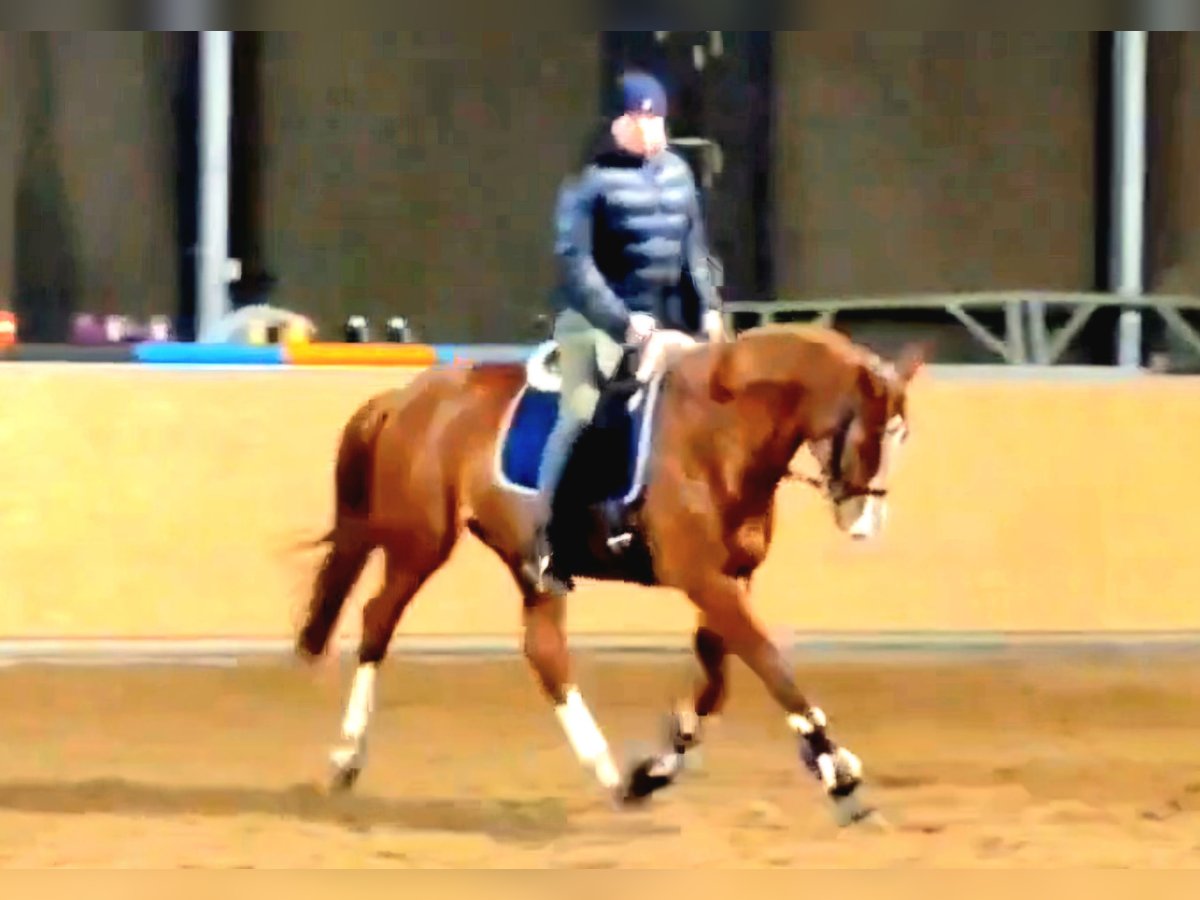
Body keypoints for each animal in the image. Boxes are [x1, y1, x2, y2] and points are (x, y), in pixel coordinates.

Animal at [294, 323, 925, 826]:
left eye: (903, 437)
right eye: (870, 434)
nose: (864, 523)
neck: (719, 430)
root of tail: (408, 395)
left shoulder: (730, 578)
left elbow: (716, 681)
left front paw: (657, 768)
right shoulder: (703, 578)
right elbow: (770, 665)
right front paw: (840, 776)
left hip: (529, 562)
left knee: (544, 651)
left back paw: (610, 773)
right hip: (421, 541)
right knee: (378, 622)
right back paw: (346, 757)